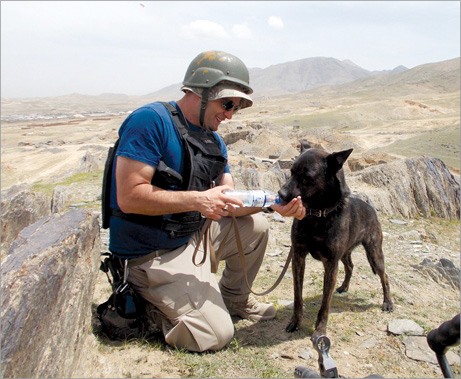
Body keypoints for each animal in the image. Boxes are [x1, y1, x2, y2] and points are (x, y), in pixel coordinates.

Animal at [276, 142, 392, 342]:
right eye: (291, 171)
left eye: (307, 176)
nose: (280, 194)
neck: (318, 214)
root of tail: (372, 209)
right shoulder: (298, 257)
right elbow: (298, 296)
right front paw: (295, 322)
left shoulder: (330, 264)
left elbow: (325, 304)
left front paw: (320, 331)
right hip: (345, 254)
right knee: (350, 266)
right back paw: (344, 287)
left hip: (374, 254)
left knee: (384, 276)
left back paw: (387, 303)